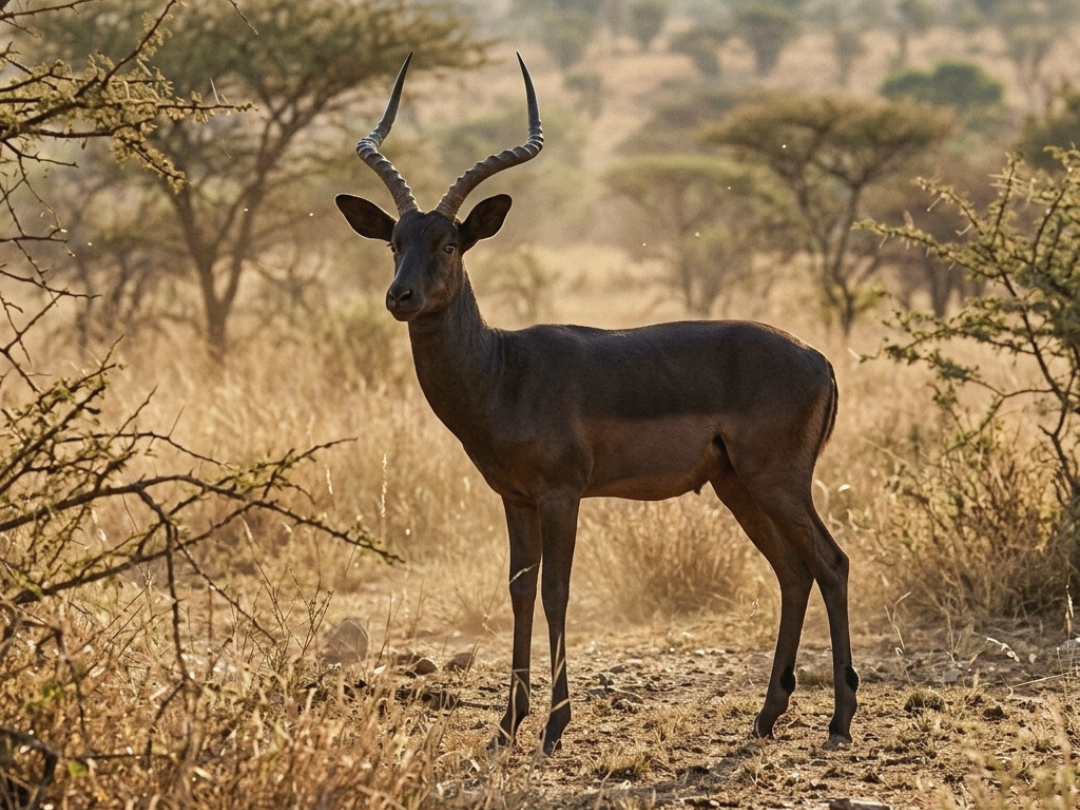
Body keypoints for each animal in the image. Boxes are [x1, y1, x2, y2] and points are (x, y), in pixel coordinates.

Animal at [335, 54, 858, 754]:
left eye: (450, 243)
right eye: (395, 241)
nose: (401, 296)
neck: (503, 371)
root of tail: (820, 359)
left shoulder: (562, 494)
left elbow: (557, 592)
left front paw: (555, 726)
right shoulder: (515, 499)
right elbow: (520, 591)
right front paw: (506, 726)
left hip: (778, 482)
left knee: (831, 563)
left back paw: (840, 720)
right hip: (737, 486)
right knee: (793, 572)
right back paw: (767, 715)